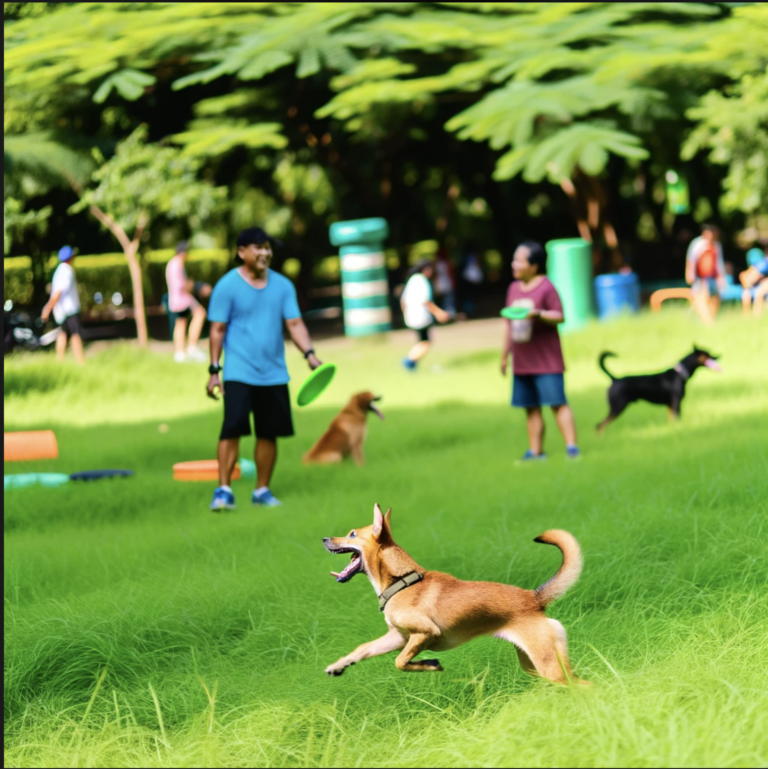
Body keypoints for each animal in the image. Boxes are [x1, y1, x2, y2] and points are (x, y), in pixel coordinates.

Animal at [320, 504, 584, 684]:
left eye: (352, 534)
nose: (324, 538)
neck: (401, 582)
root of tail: (534, 598)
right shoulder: (399, 638)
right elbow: (363, 648)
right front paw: (338, 665)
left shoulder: (424, 633)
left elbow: (400, 662)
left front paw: (430, 665)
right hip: (534, 665)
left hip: (548, 664)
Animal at [592, 344, 720, 428]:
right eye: (707, 354)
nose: (719, 356)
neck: (679, 374)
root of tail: (614, 379)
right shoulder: (676, 403)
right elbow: (677, 418)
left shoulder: (670, 405)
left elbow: (672, 421)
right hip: (618, 407)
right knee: (599, 425)